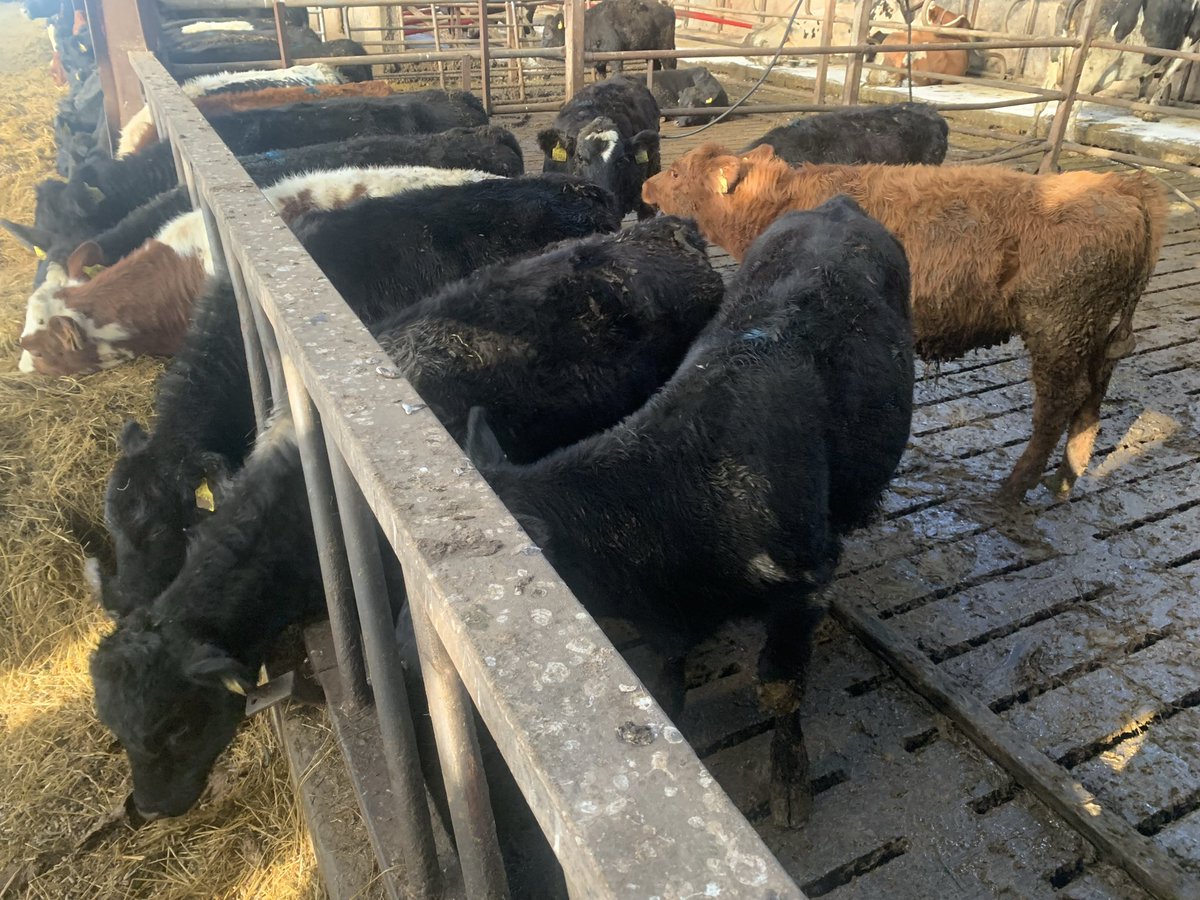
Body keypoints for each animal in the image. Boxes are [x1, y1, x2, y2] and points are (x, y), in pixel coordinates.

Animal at [542, 0, 676, 78]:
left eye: (547, 33)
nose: (542, 46)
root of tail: (669, 9)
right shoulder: (599, 63)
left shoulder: (616, 57)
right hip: (651, 50)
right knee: (656, 66)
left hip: (666, 47)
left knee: (670, 64)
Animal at [642, 143, 1168, 501]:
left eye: (675, 171)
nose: (646, 185)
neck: (782, 199)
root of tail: (1121, 186)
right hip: (1092, 330)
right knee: (1093, 392)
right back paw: (1066, 477)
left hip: (1057, 327)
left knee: (1058, 402)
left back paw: (1014, 489)